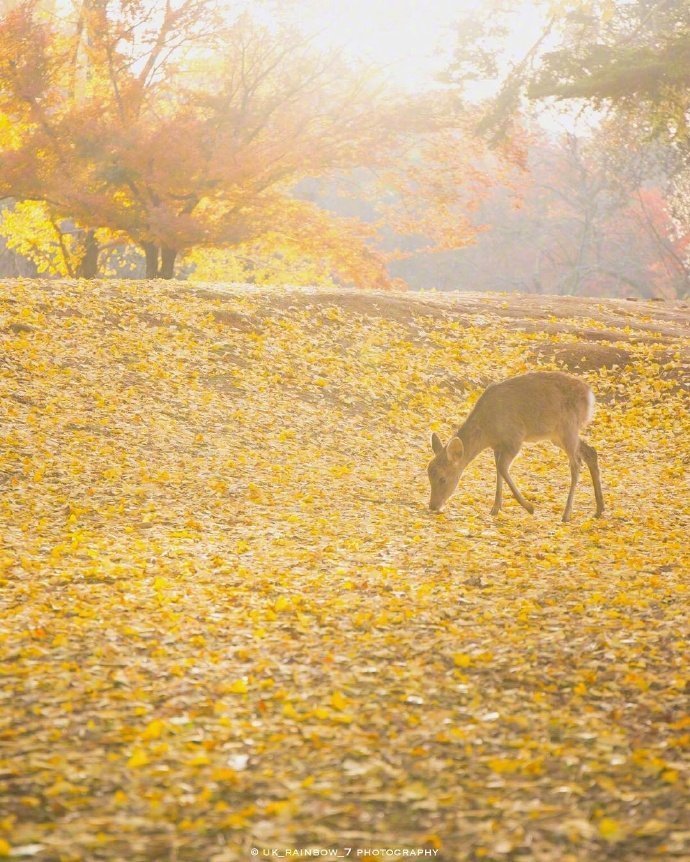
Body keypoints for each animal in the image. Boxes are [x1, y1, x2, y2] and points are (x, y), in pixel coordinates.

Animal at [424, 368, 600, 524]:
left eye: (442, 478)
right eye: (428, 475)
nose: (433, 505)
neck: (487, 432)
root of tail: (590, 396)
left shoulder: (514, 438)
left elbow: (502, 468)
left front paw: (529, 507)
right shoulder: (497, 446)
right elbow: (497, 470)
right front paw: (495, 508)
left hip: (567, 427)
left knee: (576, 465)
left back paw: (567, 514)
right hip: (558, 435)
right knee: (591, 451)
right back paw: (599, 510)